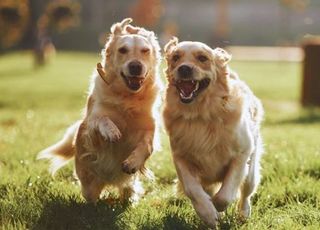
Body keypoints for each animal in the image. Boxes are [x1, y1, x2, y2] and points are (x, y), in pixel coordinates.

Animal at [38, 18, 162, 204]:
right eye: (122, 50)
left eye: (145, 51)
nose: (135, 66)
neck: (127, 97)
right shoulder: (91, 123)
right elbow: (101, 119)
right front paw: (111, 131)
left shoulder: (149, 127)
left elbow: (147, 145)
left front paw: (132, 163)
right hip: (88, 184)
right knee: (91, 197)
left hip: (127, 185)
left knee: (127, 190)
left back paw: (129, 198)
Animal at [164, 37, 264, 226]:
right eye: (176, 57)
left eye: (202, 58)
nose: (184, 68)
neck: (201, 114)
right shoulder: (180, 157)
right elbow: (193, 189)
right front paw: (208, 214)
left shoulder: (242, 154)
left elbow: (225, 194)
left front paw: (217, 207)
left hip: (251, 171)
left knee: (246, 193)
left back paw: (243, 214)